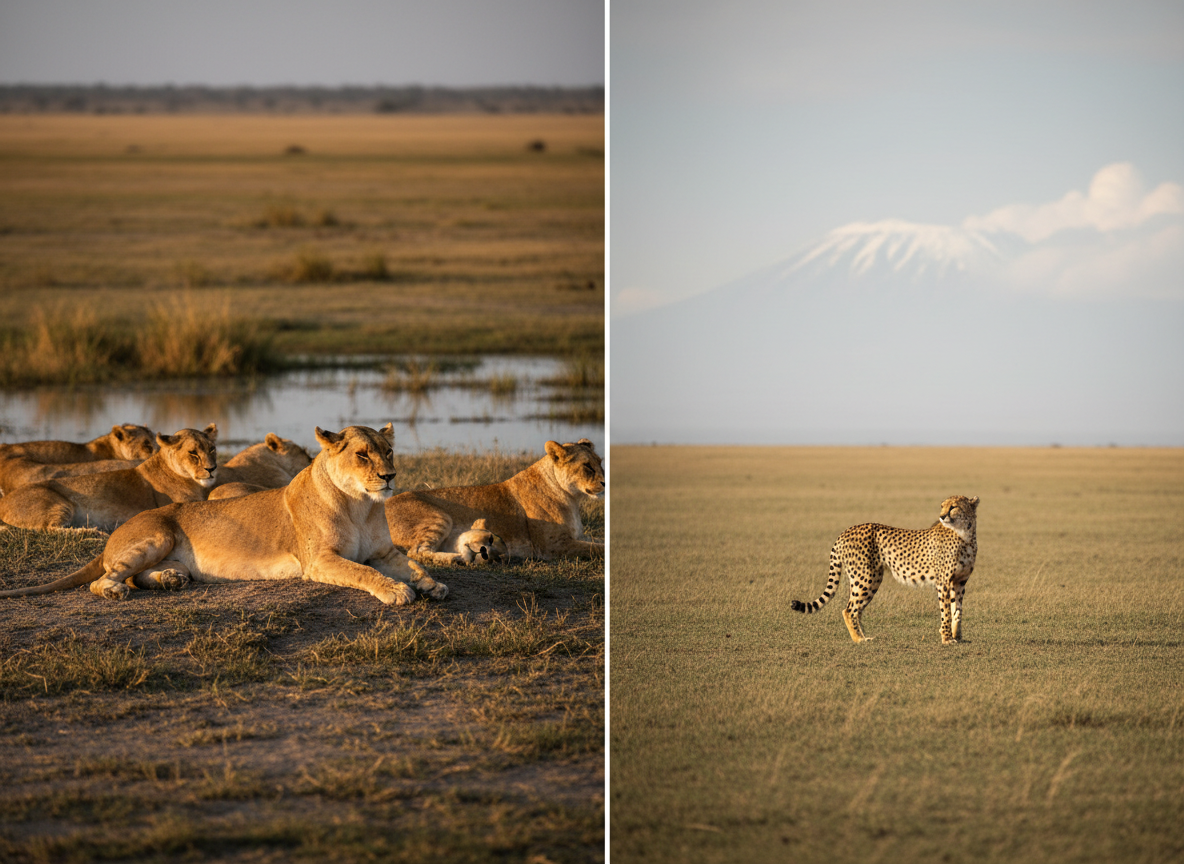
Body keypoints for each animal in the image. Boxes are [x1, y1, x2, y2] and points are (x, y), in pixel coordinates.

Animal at [385, 438, 604, 565]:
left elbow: (598, 542)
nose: (604, 482)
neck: (572, 499)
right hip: (439, 517)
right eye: (587, 466)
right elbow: (595, 548)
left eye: (600, 462)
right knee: (416, 552)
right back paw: (456, 558)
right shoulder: (553, 545)